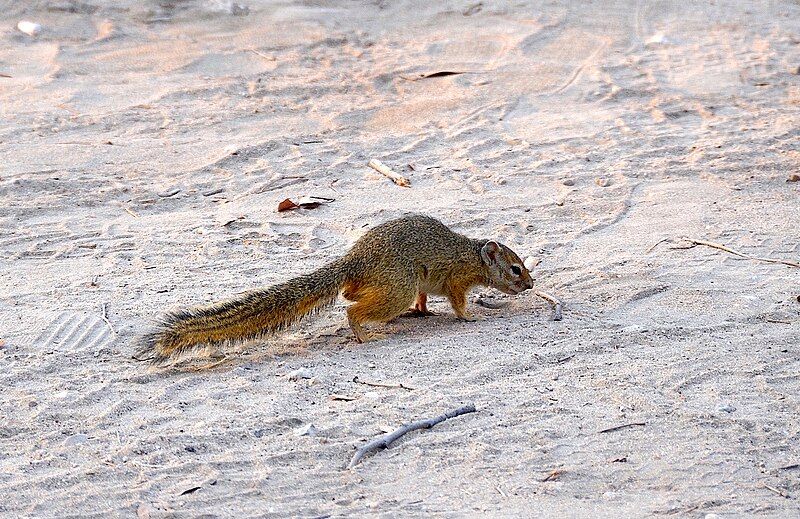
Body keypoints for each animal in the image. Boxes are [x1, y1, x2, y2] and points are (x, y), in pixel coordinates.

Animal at [138, 215, 536, 366]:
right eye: (515, 269)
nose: (531, 284)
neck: (472, 256)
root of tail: (354, 261)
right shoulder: (455, 279)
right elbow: (458, 302)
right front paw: (469, 317)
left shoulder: (428, 285)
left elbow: (426, 300)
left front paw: (424, 311)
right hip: (399, 287)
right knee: (351, 308)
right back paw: (361, 334)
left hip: (392, 286)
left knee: (352, 297)